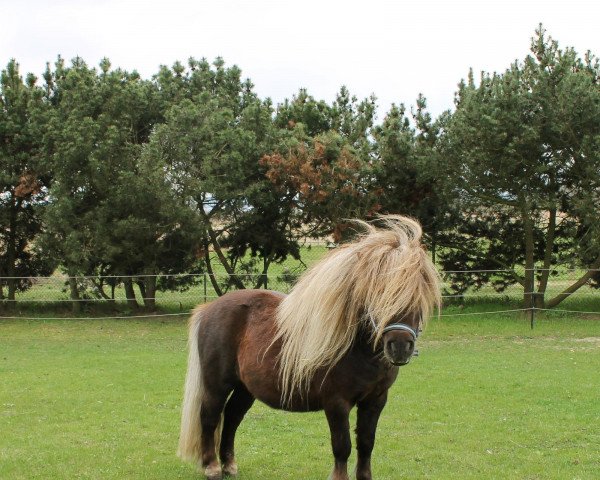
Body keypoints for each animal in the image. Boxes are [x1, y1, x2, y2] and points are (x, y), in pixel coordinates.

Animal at [178, 217, 440, 480]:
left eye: (419, 292)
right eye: (377, 292)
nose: (400, 346)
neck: (359, 351)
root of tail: (209, 308)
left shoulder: (375, 400)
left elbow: (366, 443)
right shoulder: (336, 403)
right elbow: (342, 446)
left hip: (245, 387)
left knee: (232, 417)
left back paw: (229, 465)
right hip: (217, 384)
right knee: (210, 416)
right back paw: (212, 467)